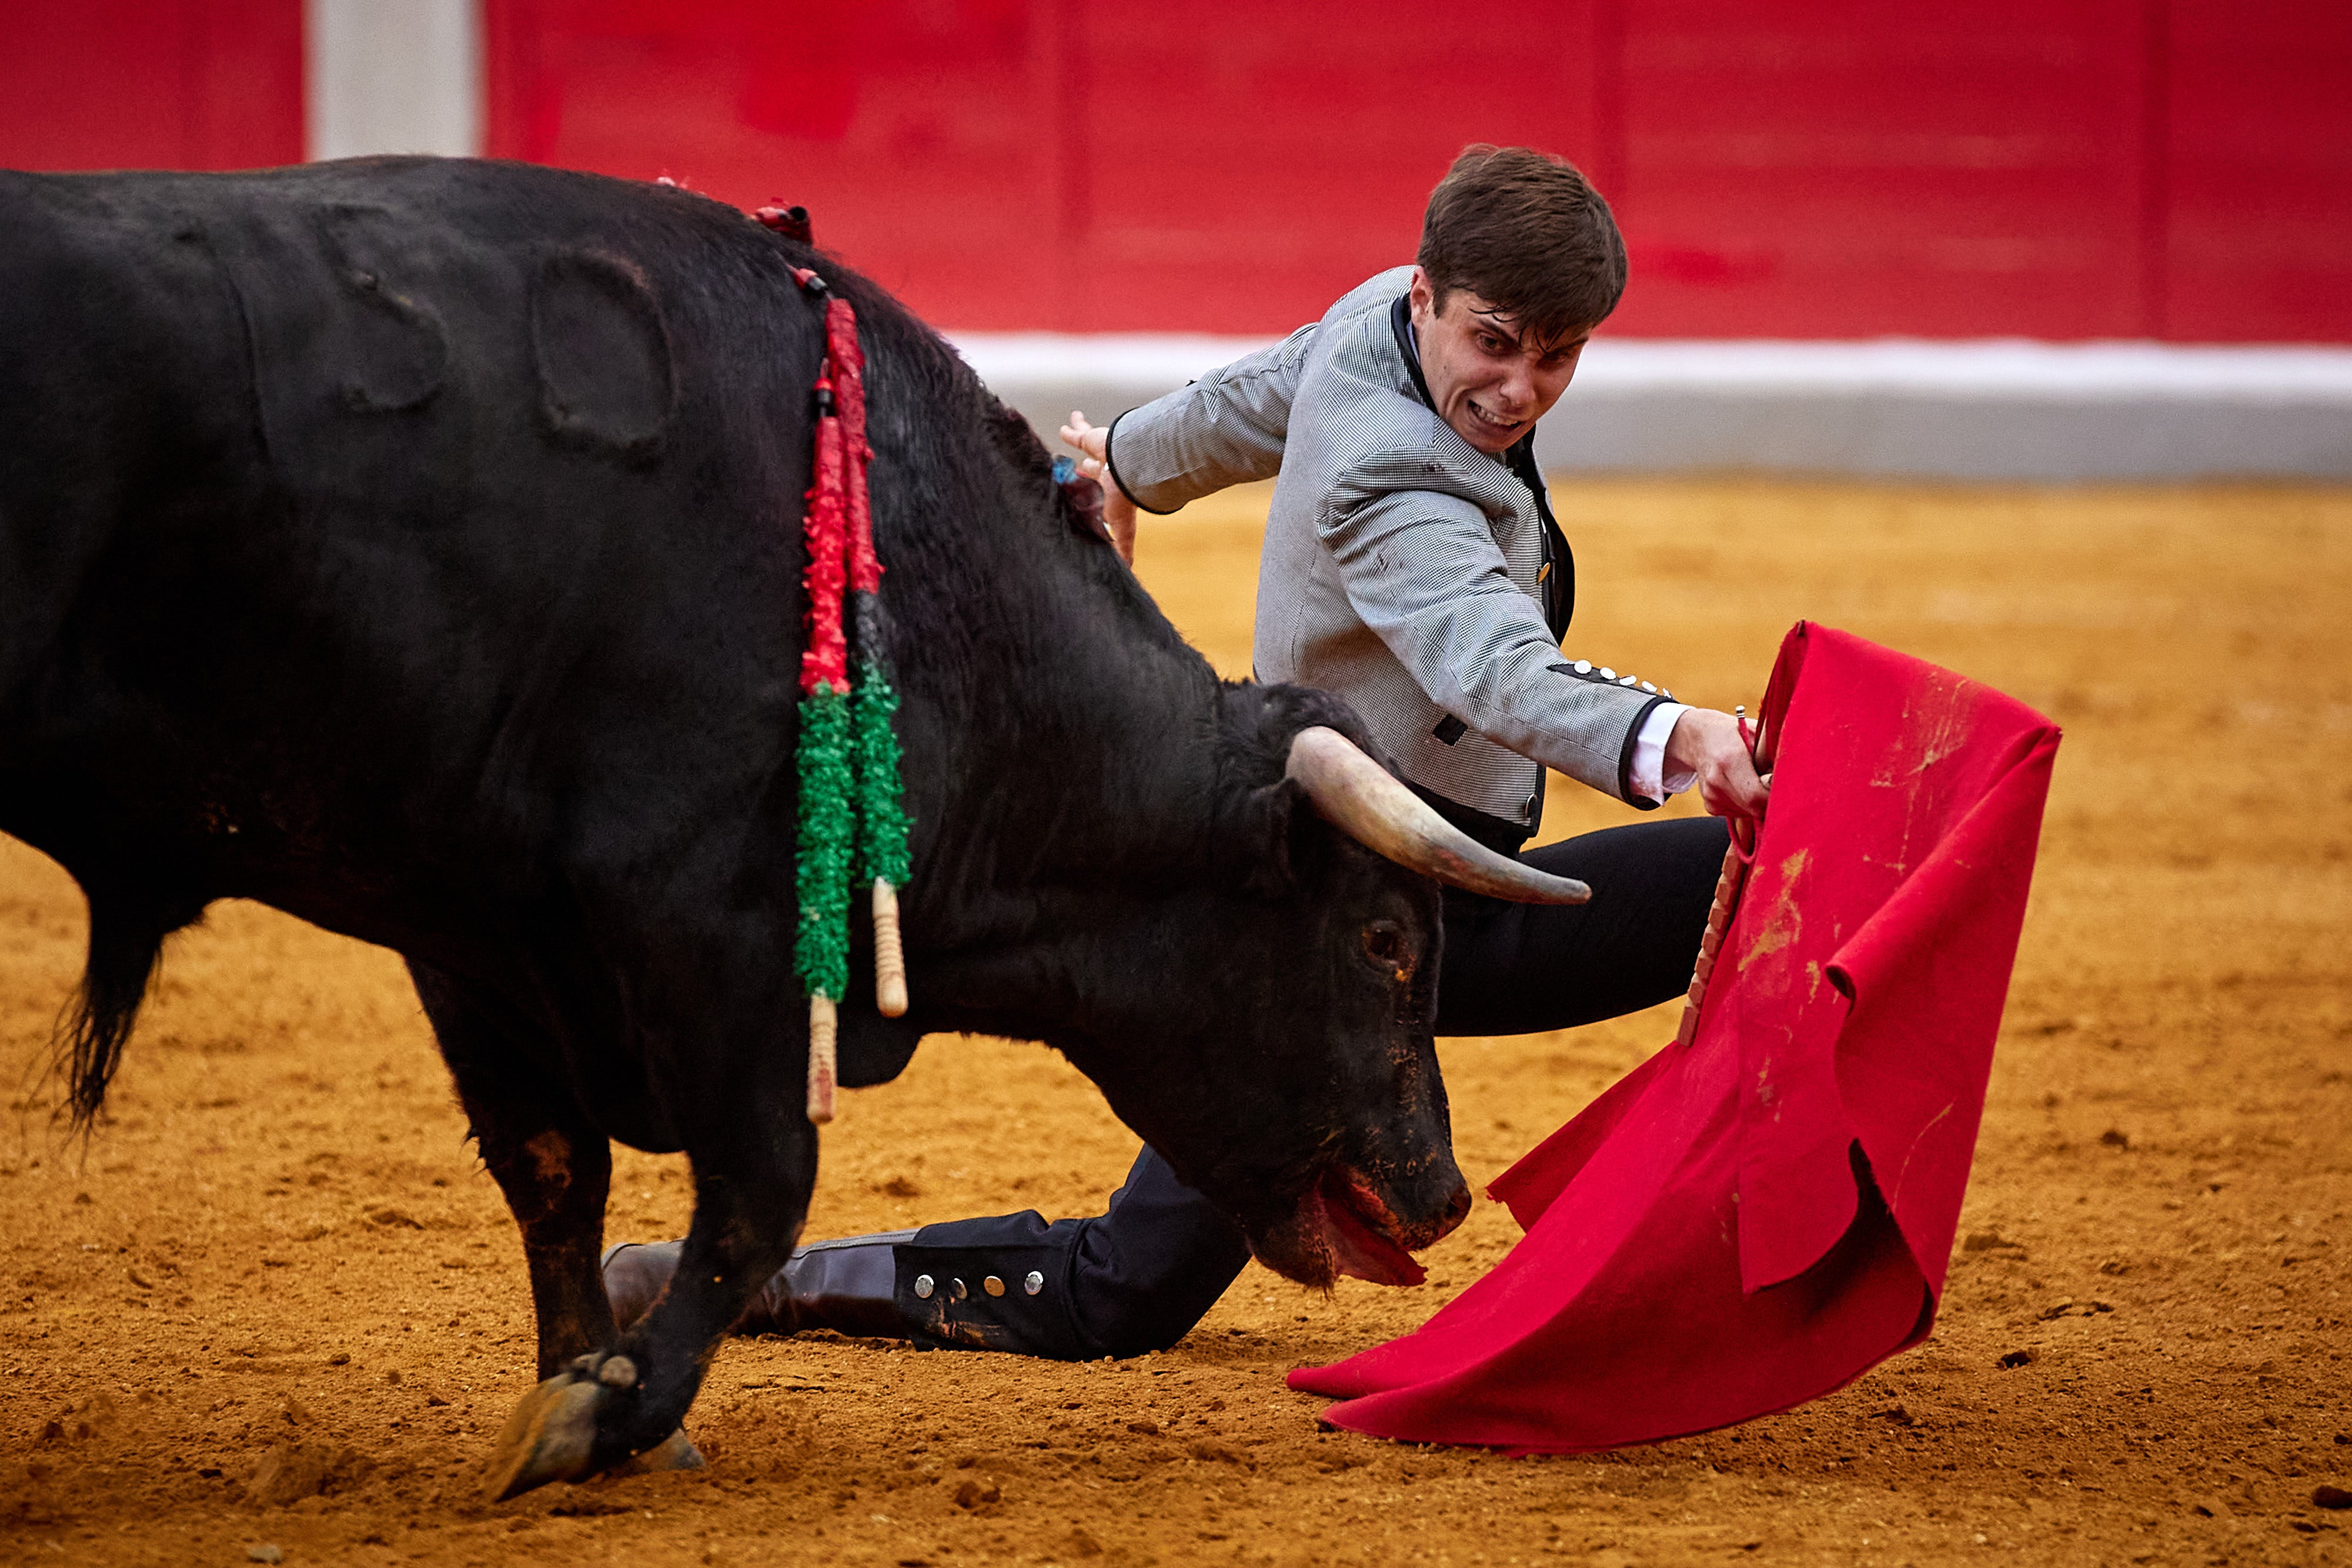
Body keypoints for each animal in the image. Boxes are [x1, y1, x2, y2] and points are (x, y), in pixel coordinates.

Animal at [4, 159, 1486, 1495]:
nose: (1445, 1194)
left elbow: (554, 1169)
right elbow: (757, 1189)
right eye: (1382, 941)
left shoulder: (476, 927)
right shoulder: (705, 926)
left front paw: (581, 1391)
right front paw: (603, 1413)